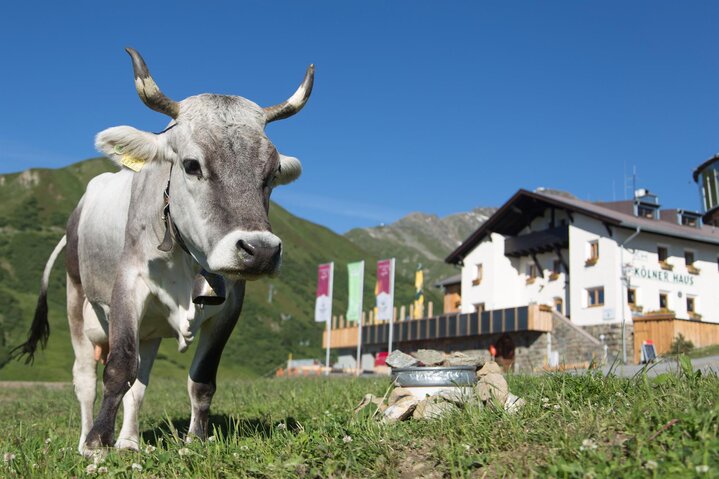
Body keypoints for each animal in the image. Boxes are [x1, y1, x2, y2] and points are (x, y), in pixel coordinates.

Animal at [11, 47, 316, 454]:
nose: (261, 251)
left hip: (150, 329)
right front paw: (97, 442)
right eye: (191, 164)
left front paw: (196, 440)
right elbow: (118, 367)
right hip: (77, 297)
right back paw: (85, 439)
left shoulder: (231, 304)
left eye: (271, 173)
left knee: (140, 383)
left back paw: (129, 442)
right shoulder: (128, 284)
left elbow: (200, 380)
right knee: (85, 377)